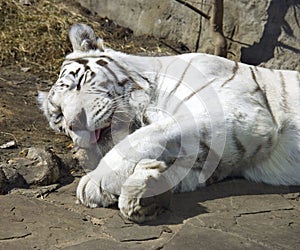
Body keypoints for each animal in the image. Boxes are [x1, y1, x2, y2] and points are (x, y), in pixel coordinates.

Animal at [38, 23, 300, 223]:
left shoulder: (238, 113)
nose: (76, 124)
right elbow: (181, 168)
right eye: (59, 115)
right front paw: (146, 189)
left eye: (80, 82)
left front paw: (98, 180)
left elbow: (144, 137)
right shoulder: (221, 157)